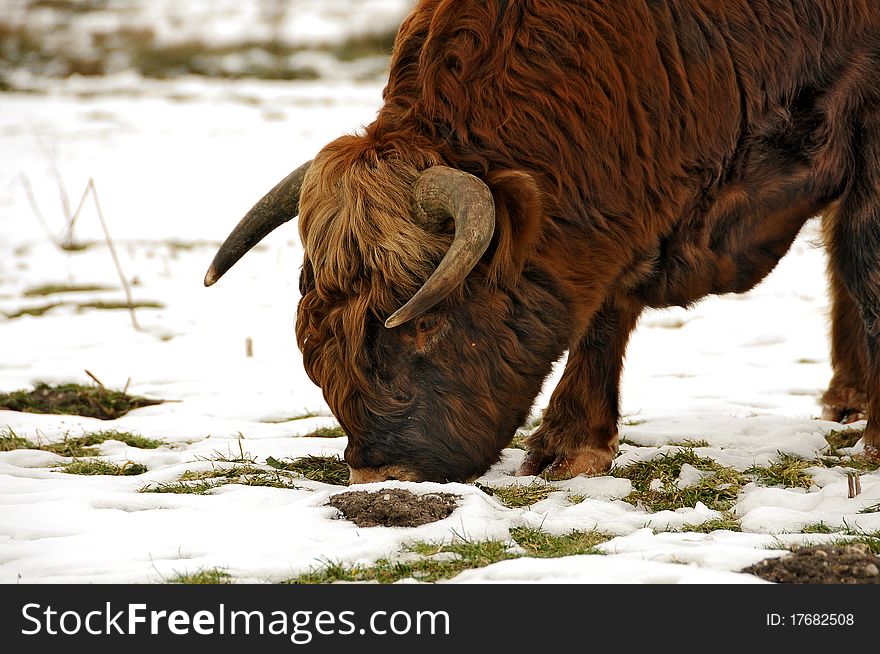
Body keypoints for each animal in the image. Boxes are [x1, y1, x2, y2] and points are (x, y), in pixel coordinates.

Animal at [206, 0, 880, 482]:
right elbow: (606, 305)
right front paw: (570, 448)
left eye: (425, 321)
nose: (380, 473)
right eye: (314, 331)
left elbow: (864, 261)